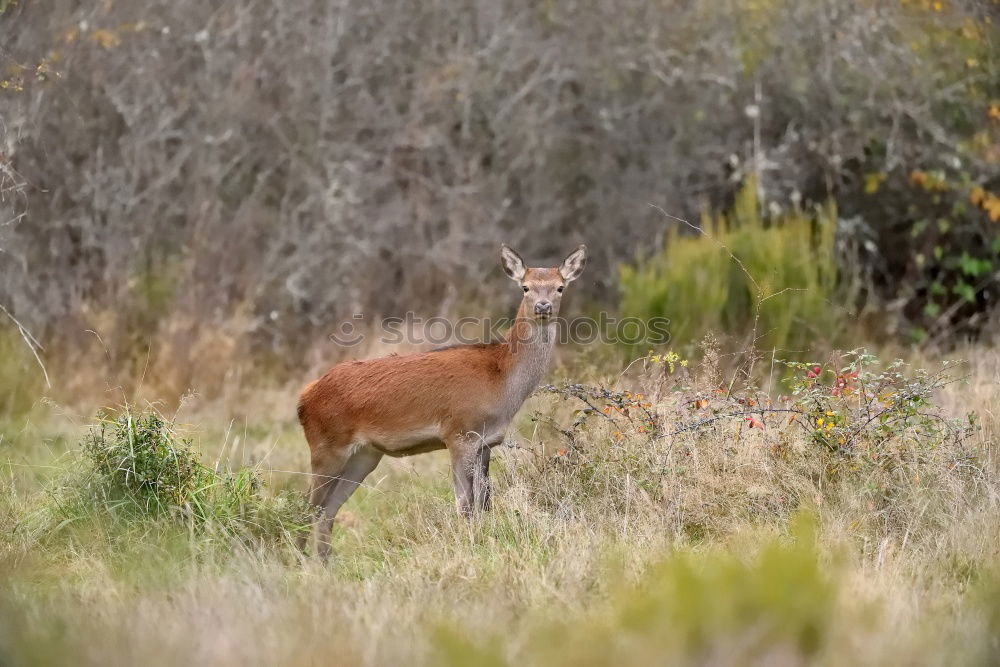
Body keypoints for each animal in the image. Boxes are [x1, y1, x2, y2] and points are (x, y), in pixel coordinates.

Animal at [300, 245, 588, 560]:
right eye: (525, 287)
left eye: (560, 287)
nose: (543, 306)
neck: (501, 382)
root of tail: (305, 398)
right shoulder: (458, 434)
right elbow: (464, 504)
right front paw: (471, 545)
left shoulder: (486, 442)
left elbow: (485, 502)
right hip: (326, 446)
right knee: (306, 506)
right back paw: (299, 558)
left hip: (364, 455)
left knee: (327, 510)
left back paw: (324, 561)